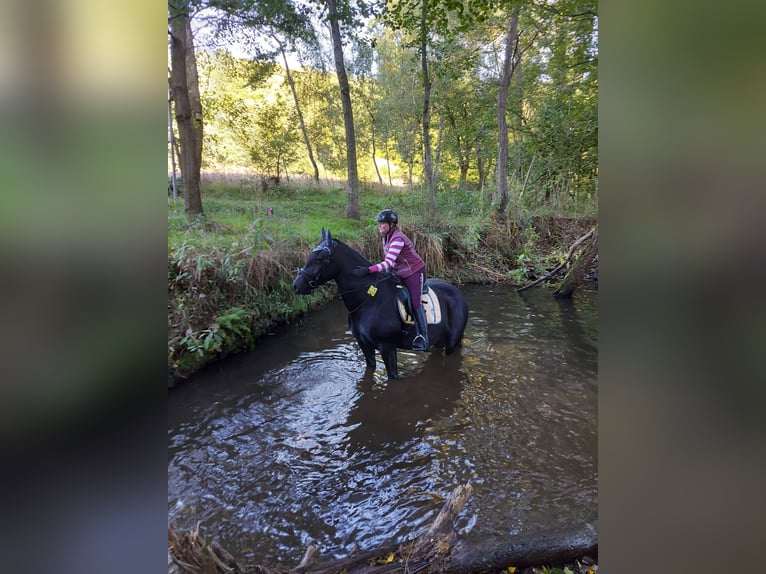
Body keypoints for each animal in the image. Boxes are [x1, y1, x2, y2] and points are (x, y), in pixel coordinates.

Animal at [293, 228, 469, 379]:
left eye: (319, 259)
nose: (296, 285)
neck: (368, 300)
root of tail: (458, 293)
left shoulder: (387, 347)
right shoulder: (365, 346)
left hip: (451, 342)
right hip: (439, 342)